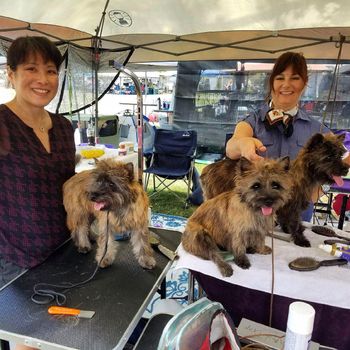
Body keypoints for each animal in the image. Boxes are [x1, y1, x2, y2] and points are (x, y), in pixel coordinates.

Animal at [201, 133, 348, 246]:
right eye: (328, 157)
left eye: (340, 155)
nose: (346, 169)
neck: (300, 175)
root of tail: (207, 168)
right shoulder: (292, 207)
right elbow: (295, 223)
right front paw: (300, 239)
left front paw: (287, 230)